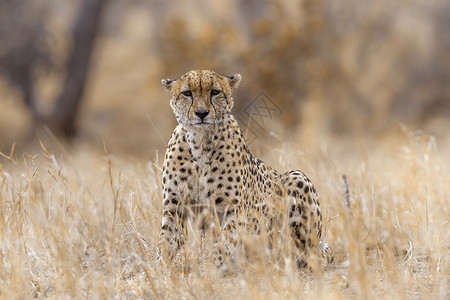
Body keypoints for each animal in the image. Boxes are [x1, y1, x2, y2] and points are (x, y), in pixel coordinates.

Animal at [159, 69, 334, 270]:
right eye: (187, 93)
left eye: (215, 92)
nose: (201, 113)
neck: (199, 140)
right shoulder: (174, 207)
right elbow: (166, 240)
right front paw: (158, 268)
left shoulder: (235, 210)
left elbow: (224, 243)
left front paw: (210, 268)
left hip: (296, 178)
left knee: (307, 254)